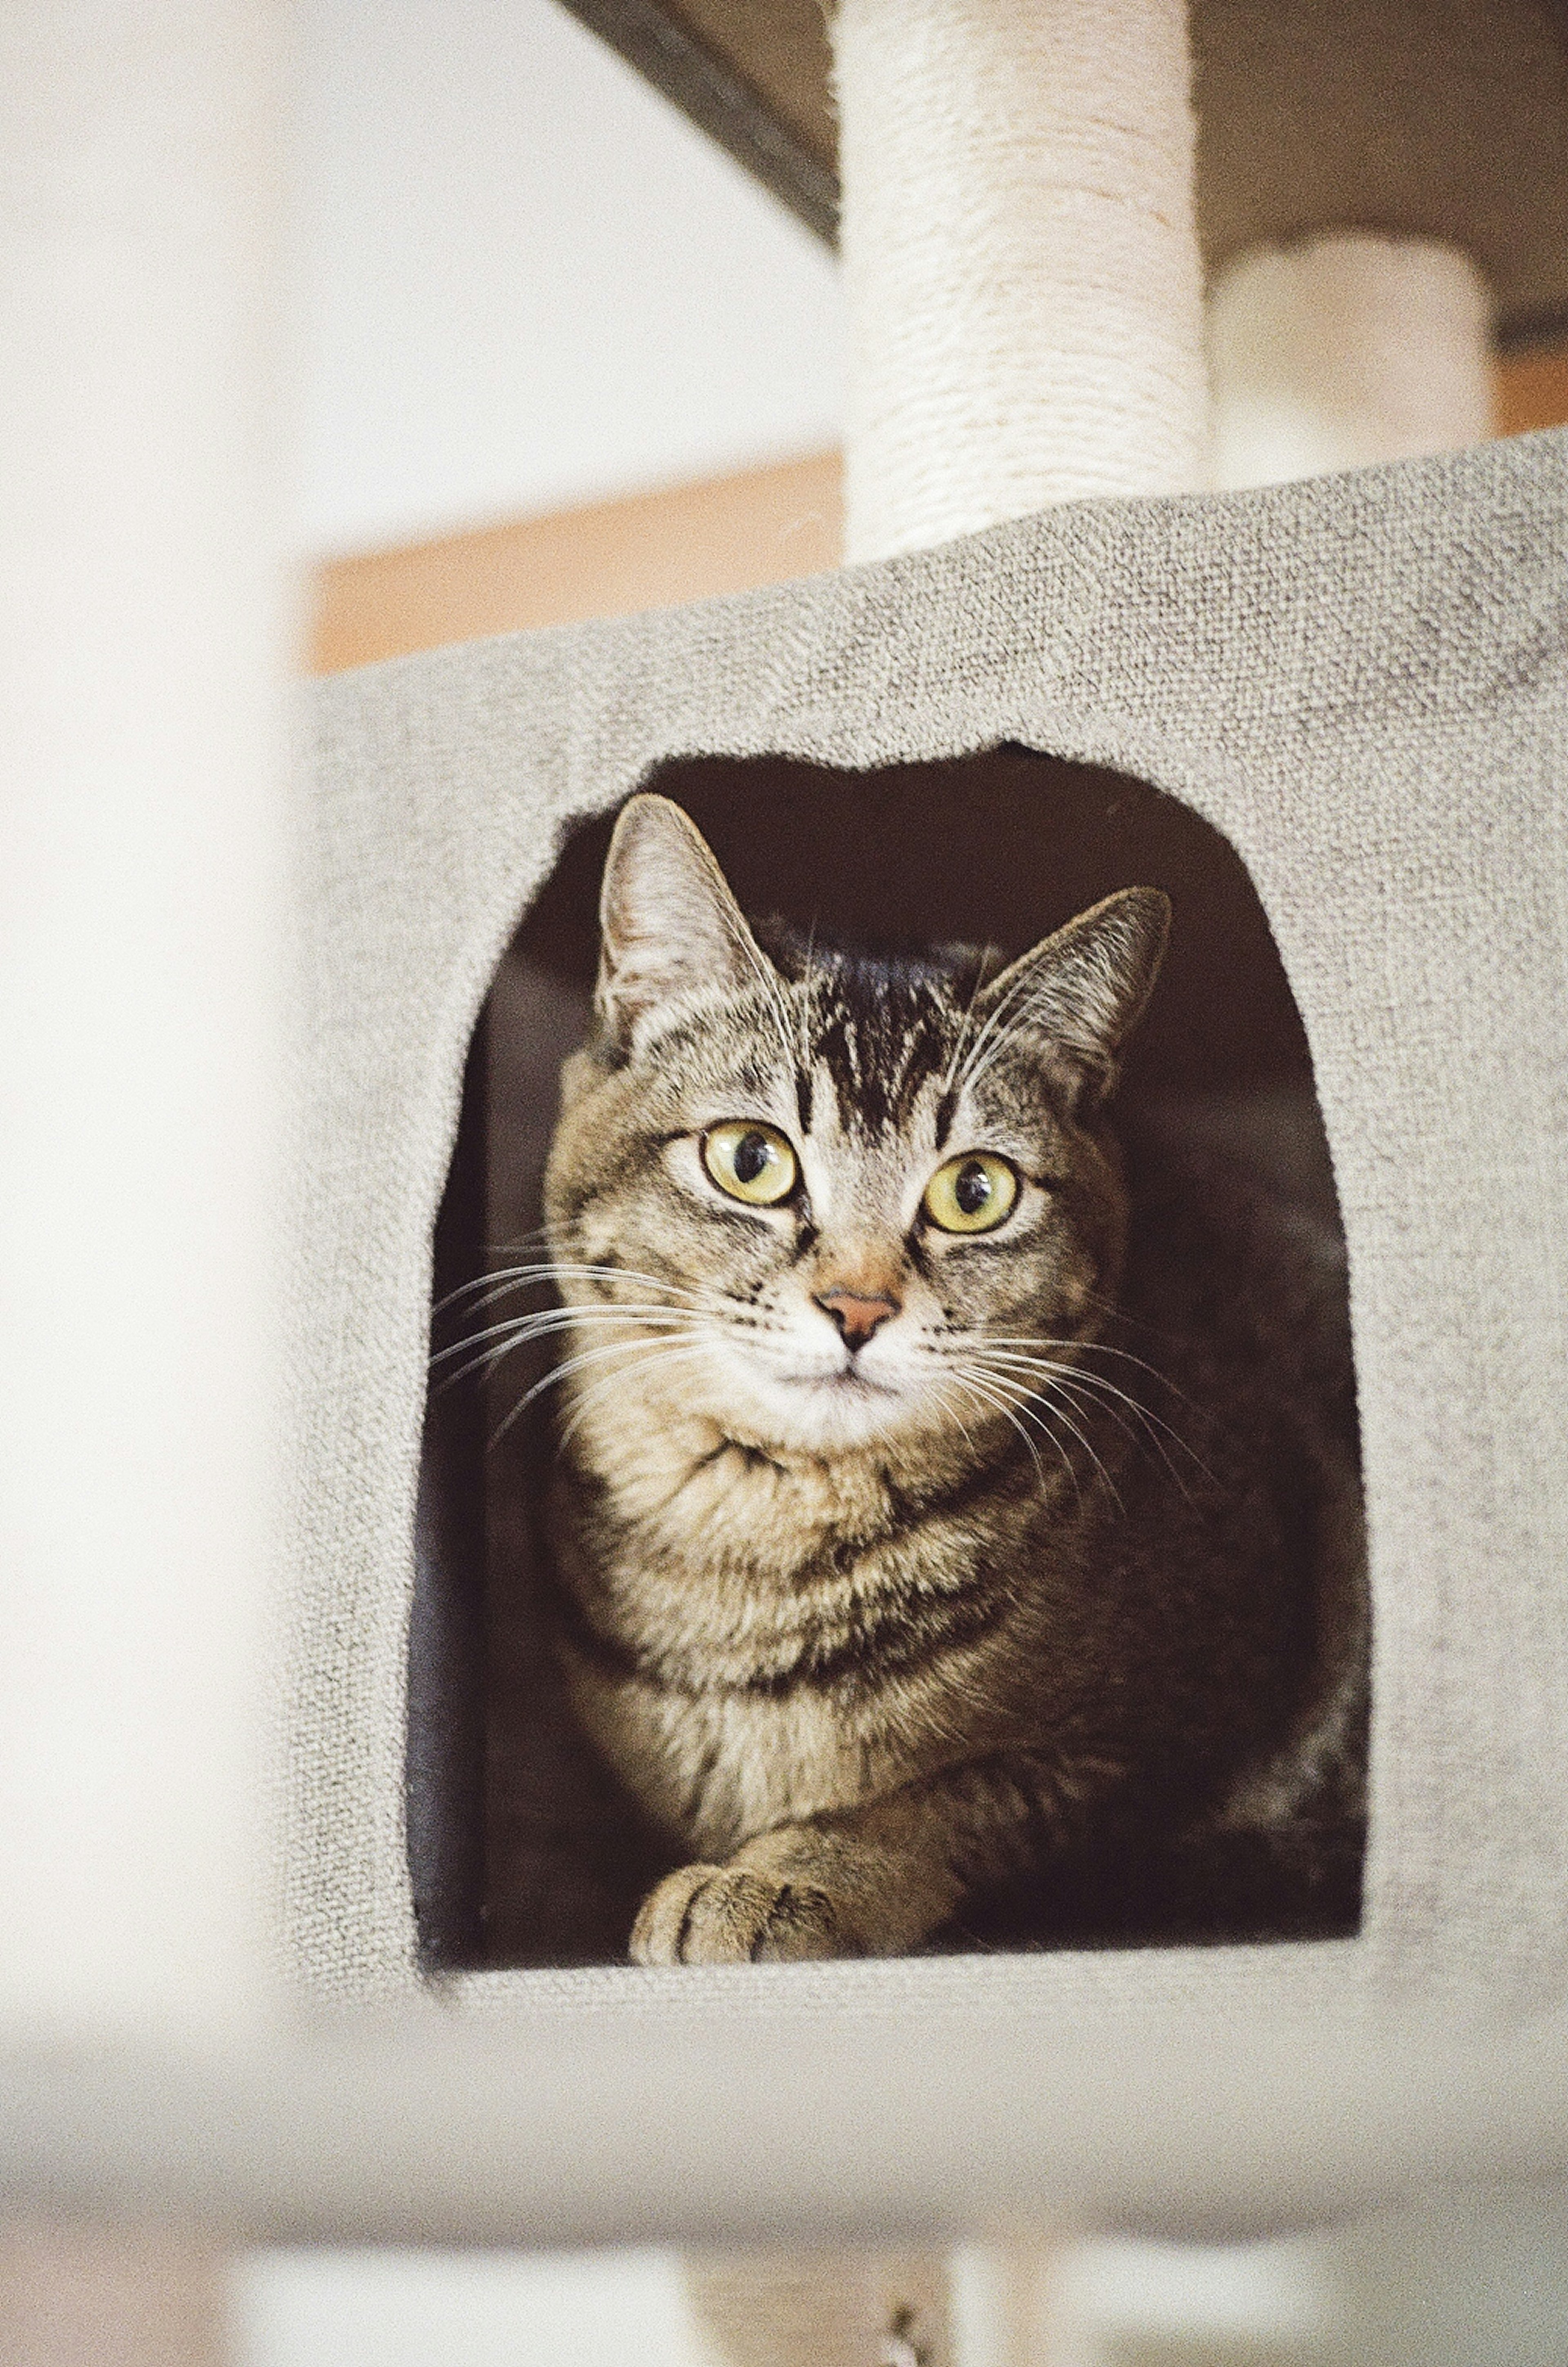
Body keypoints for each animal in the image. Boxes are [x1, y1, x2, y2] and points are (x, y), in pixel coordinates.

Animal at [530, 795, 1362, 1960]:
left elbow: (937, 1801)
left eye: (975, 1191)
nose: (858, 1307)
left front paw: (780, 1878)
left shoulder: (1152, 1752)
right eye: (751, 1160)